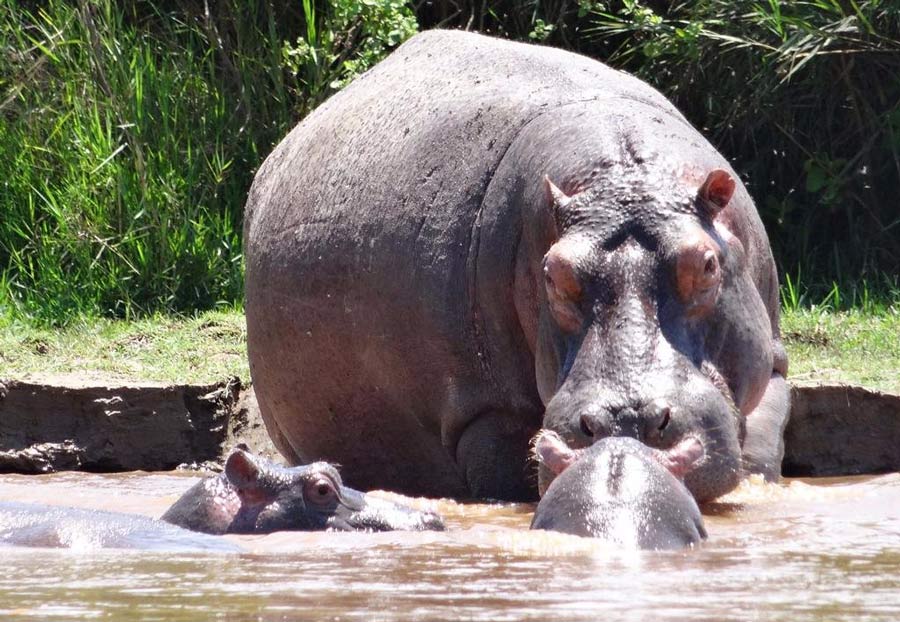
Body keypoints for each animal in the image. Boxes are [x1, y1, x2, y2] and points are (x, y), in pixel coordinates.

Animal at [243, 31, 792, 504]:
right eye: (553, 273)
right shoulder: (486, 411)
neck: (623, 178)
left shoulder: (773, 365)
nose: (626, 423)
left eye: (707, 263)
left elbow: (761, 454)